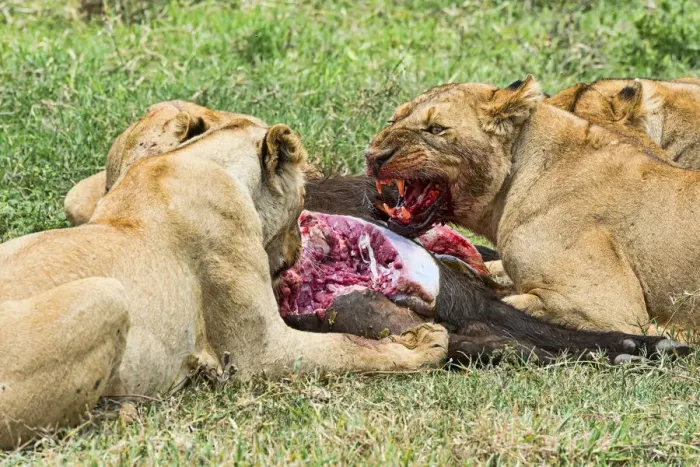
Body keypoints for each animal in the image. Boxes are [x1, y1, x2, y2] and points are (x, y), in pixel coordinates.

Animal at [0, 110, 447, 449]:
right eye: (303, 197)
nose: (297, 251)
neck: (191, 161)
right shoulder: (259, 353)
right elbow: (350, 348)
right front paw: (425, 343)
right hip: (105, 295)